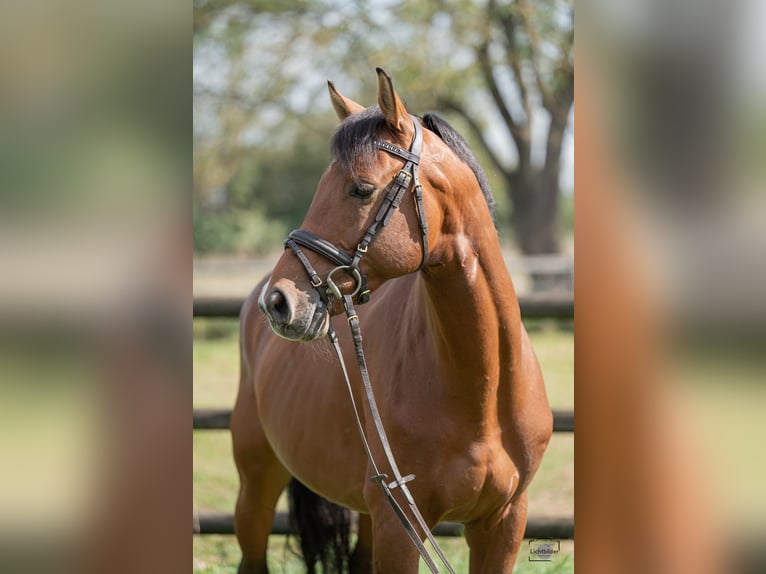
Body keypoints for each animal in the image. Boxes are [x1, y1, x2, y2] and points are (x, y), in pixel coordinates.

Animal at [231, 70, 556, 572]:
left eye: (361, 189)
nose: (280, 302)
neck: (483, 390)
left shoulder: (503, 523)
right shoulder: (400, 528)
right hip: (257, 488)